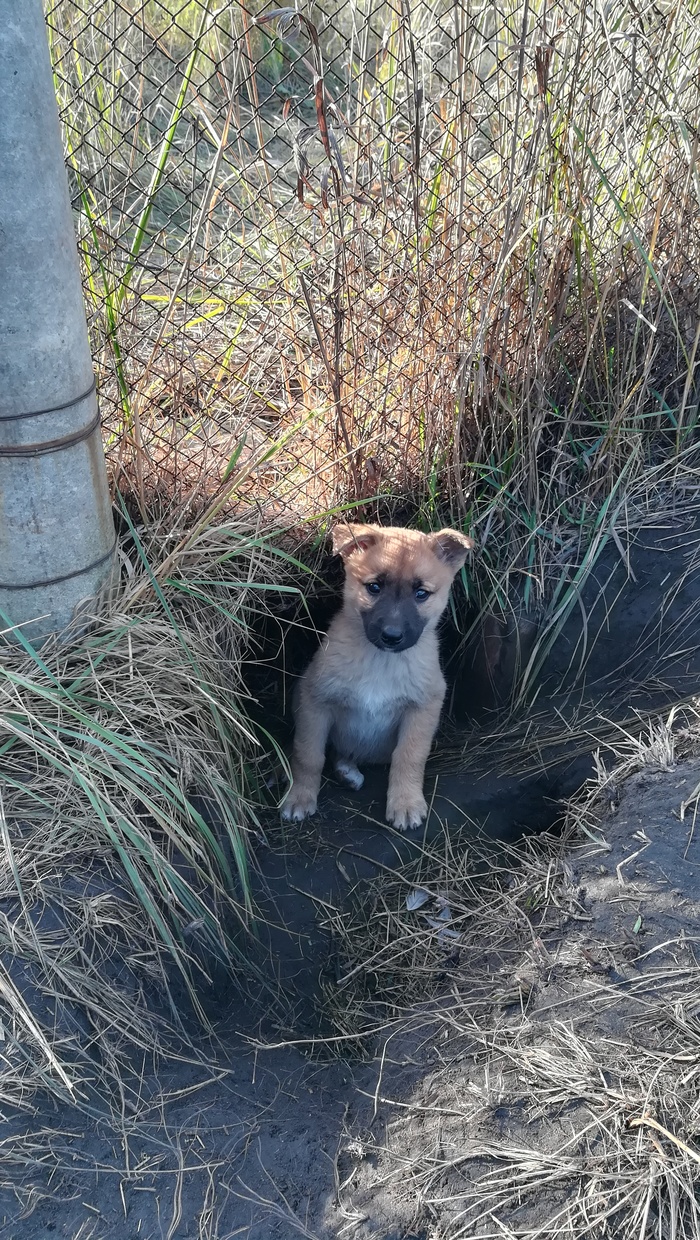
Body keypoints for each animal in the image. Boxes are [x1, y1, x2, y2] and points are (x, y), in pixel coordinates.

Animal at [281, 518, 473, 828]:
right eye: (374, 587)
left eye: (421, 593)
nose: (392, 636)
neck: (381, 661)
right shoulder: (315, 702)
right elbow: (307, 754)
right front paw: (299, 796)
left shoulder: (424, 707)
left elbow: (409, 756)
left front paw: (405, 803)